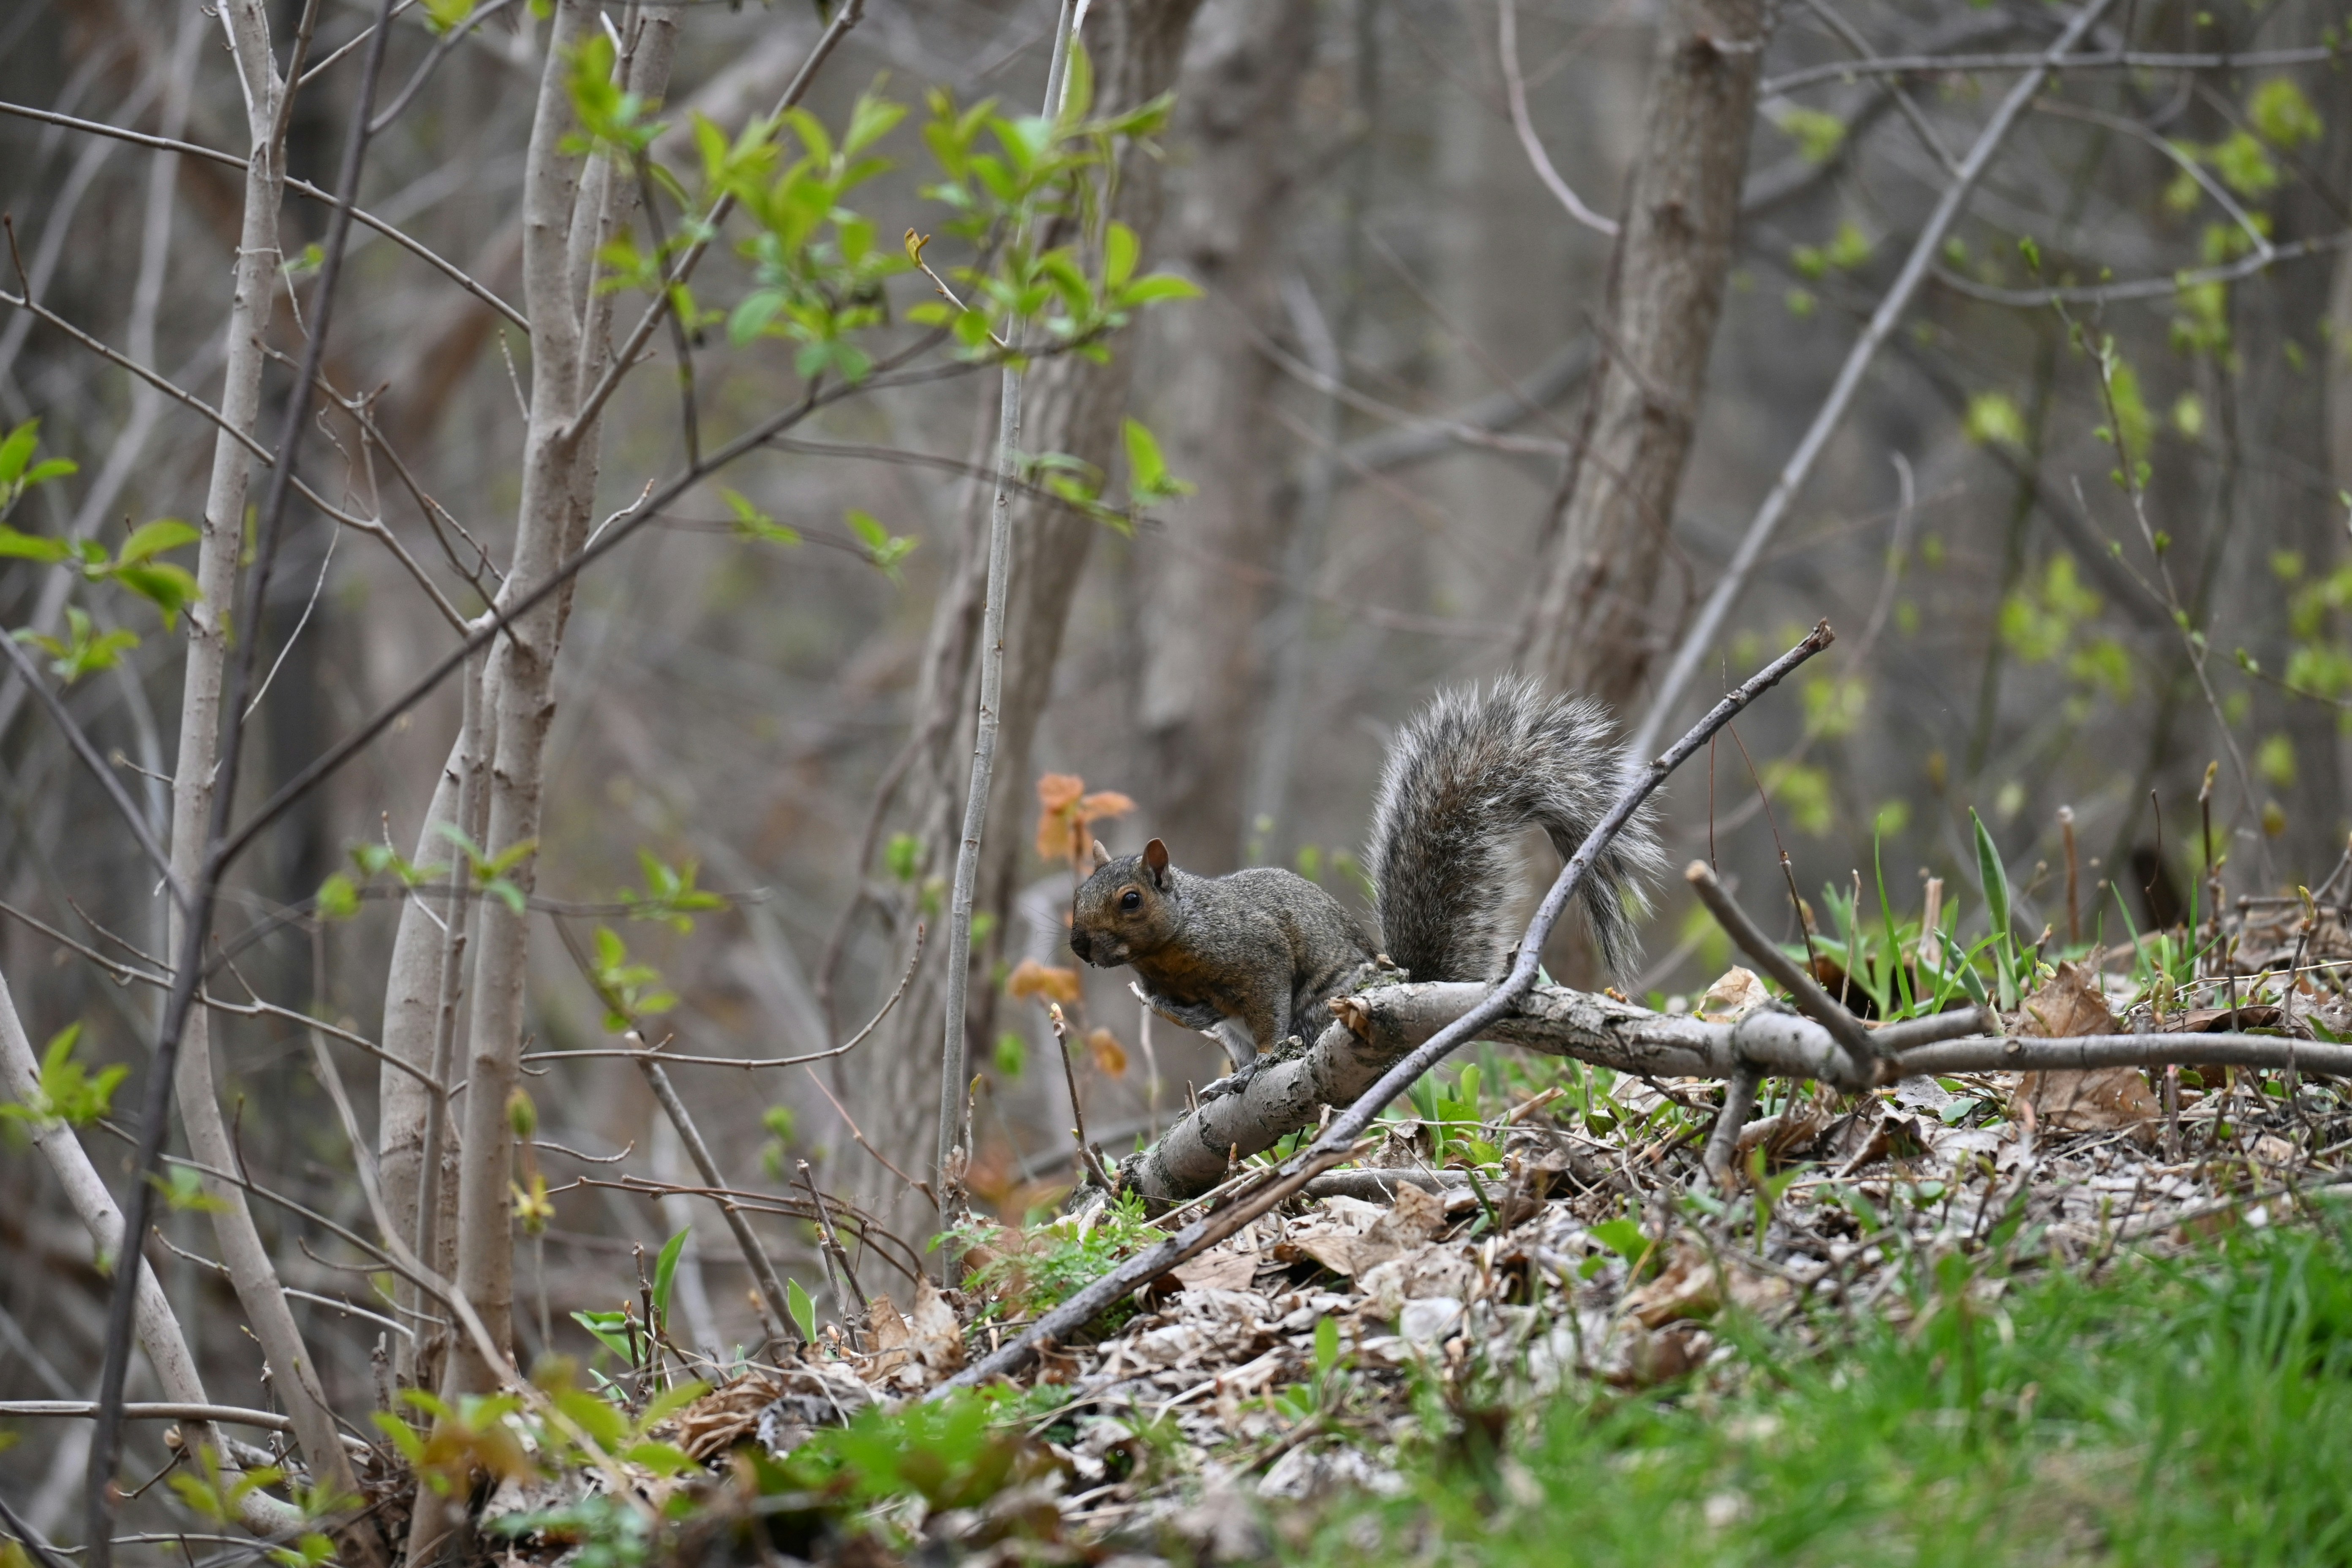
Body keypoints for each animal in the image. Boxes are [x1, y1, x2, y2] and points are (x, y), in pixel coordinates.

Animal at [1068, 678, 1662, 1091]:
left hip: (1322, 1006)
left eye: (1131, 900)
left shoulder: (1255, 957)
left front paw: (1262, 1063)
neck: (1176, 942)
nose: (1078, 946)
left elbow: (1267, 1017)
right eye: (1077, 897)